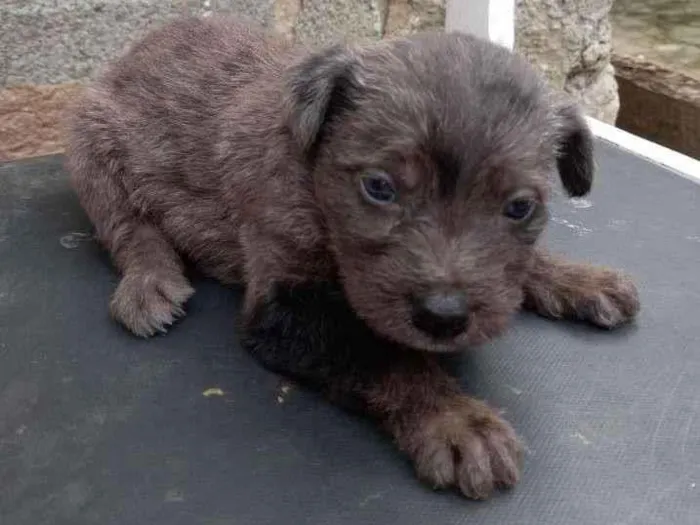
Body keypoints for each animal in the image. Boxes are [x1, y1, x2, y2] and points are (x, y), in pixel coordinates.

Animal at [64, 15, 640, 500]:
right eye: (379, 187)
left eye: (520, 207)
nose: (444, 316)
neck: (314, 181)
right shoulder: (283, 301)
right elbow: (381, 354)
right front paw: (455, 419)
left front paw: (578, 278)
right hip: (91, 147)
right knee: (128, 228)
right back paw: (150, 283)